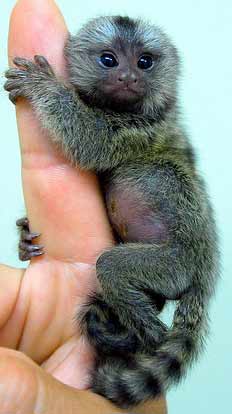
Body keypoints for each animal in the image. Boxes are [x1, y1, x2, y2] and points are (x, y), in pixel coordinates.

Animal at [5, 15, 219, 408]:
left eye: (144, 63)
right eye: (109, 60)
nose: (128, 77)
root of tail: (205, 275)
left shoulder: (141, 128)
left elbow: (91, 141)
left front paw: (44, 86)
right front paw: (25, 235)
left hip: (176, 265)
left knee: (113, 266)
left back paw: (145, 332)